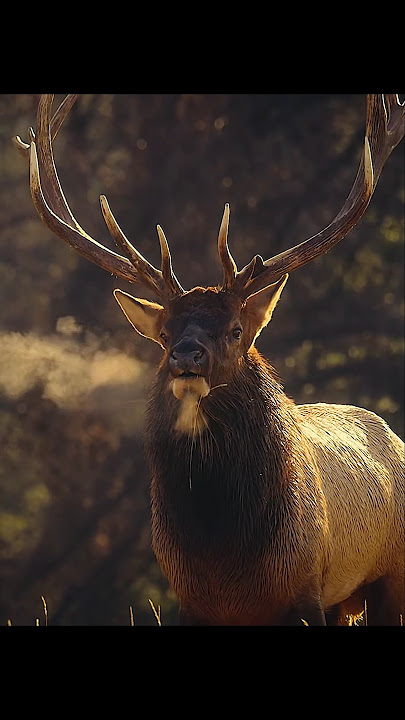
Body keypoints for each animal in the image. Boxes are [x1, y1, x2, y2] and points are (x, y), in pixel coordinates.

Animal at [13, 94, 404, 625]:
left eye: (236, 330)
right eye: (163, 334)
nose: (186, 355)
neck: (224, 557)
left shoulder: (304, 589)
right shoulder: (190, 600)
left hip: (389, 577)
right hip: (347, 601)